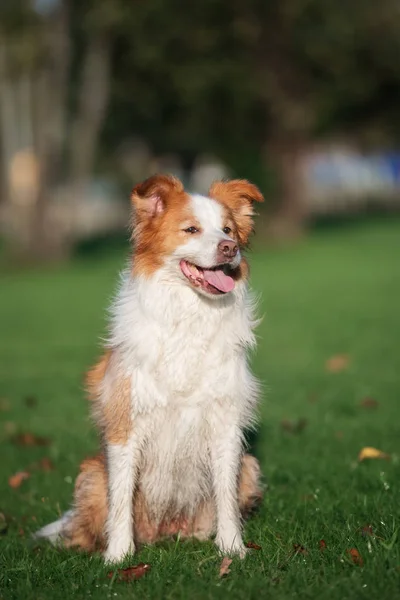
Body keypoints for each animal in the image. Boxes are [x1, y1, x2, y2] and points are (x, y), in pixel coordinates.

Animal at [36, 173, 264, 564]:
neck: (190, 316)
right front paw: (118, 556)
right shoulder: (126, 422)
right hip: (92, 474)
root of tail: (164, 532)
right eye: (191, 229)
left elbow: (226, 494)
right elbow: (121, 500)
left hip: (249, 466)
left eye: (228, 230)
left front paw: (232, 548)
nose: (229, 248)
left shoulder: (225, 421)